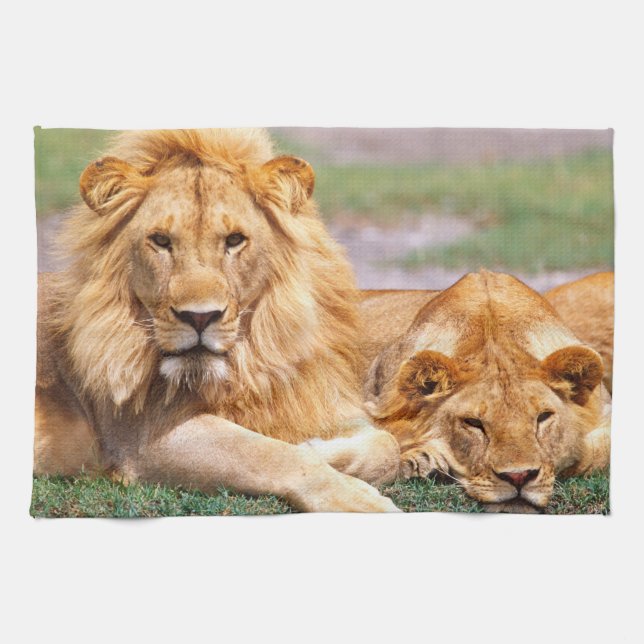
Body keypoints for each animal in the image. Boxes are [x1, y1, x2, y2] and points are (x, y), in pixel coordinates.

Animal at [34, 128, 400, 513]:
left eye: (234, 240)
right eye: (161, 241)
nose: (199, 317)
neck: (244, 366)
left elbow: (386, 444)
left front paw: (318, 447)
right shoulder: (143, 440)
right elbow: (273, 455)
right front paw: (358, 499)